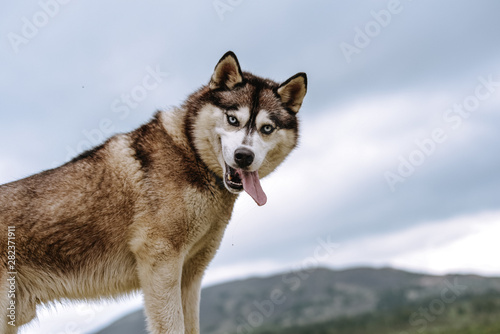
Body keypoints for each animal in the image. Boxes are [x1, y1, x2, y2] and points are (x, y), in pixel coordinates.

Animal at [0, 51, 304, 332]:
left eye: (267, 128)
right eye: (232, 119)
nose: (243, 156)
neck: (190, 152)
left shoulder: (191, 274)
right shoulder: (160, 262)